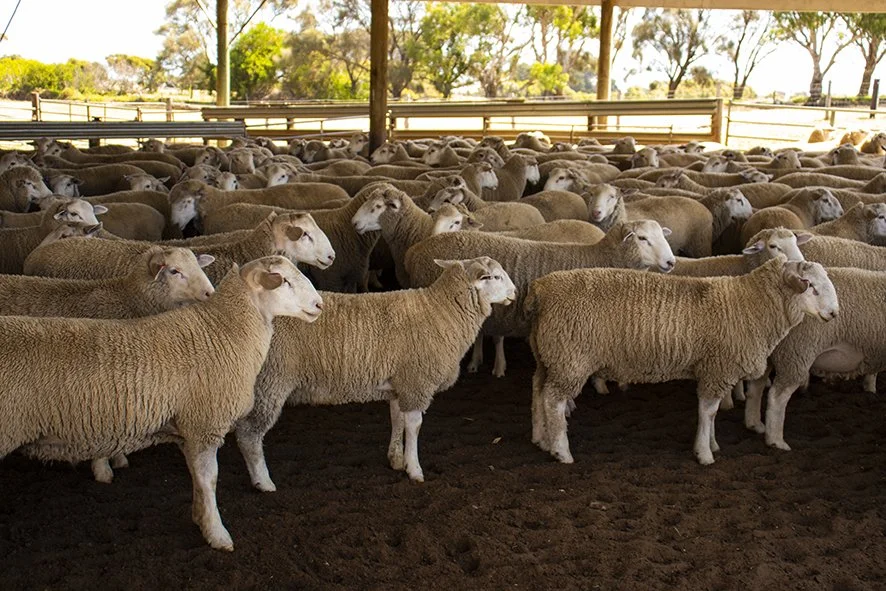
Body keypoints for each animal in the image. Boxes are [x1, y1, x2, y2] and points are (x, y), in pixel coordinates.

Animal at [0, 255, 323, 550]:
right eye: (284, 281)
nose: (320, 304)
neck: (224, 331)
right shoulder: (204, 425)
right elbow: (210, 481)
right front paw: (217, 534)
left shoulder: (187, 429)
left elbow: (197, 480)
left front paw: (199, 518)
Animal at [234, 256, 514, 489]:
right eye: (494, 277)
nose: (514, 292)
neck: (441, 311)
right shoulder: (417, 382)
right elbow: (414, 425)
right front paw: (414, 469)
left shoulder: (400, 382)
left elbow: (397, 419)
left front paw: (397, 459)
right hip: (271, 382)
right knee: (249, 436)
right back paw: (263, 482)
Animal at [525, 257, 838, 465]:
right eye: (811, 286)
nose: (835, 313)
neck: (749, 304)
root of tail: (542, 288)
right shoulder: (717, 369)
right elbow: (708, 411)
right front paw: (704, 453)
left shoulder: (714, 368)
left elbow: (712, 412)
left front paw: (712, 443)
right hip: (570, 359)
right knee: (553, 400)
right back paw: (561, 451)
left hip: (547, 358)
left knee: (538, 392)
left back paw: (541, 439)